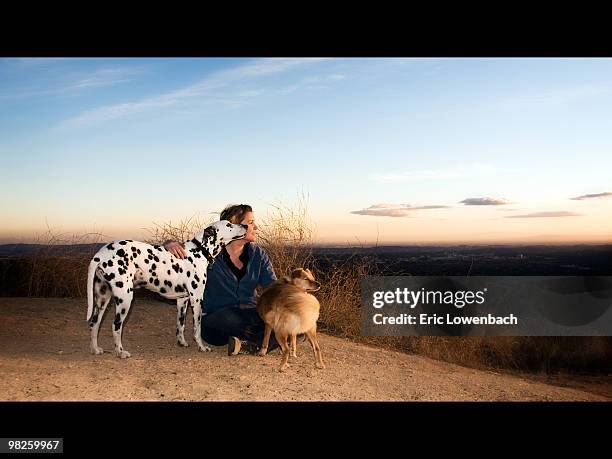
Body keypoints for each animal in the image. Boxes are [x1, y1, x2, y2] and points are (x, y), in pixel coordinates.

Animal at [86, 220, 249, 360]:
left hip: (102, 299)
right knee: (116, 326)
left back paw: (95, 349)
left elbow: (180, 325)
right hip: (125, 299)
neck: (198, 251)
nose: (246, 225)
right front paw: (201, 347)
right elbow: (197, 328)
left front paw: (181, 342)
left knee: (94, 323)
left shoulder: (182, 300)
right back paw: (120, 352)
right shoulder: (197, 299)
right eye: (229, 224)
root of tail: (100, 254)